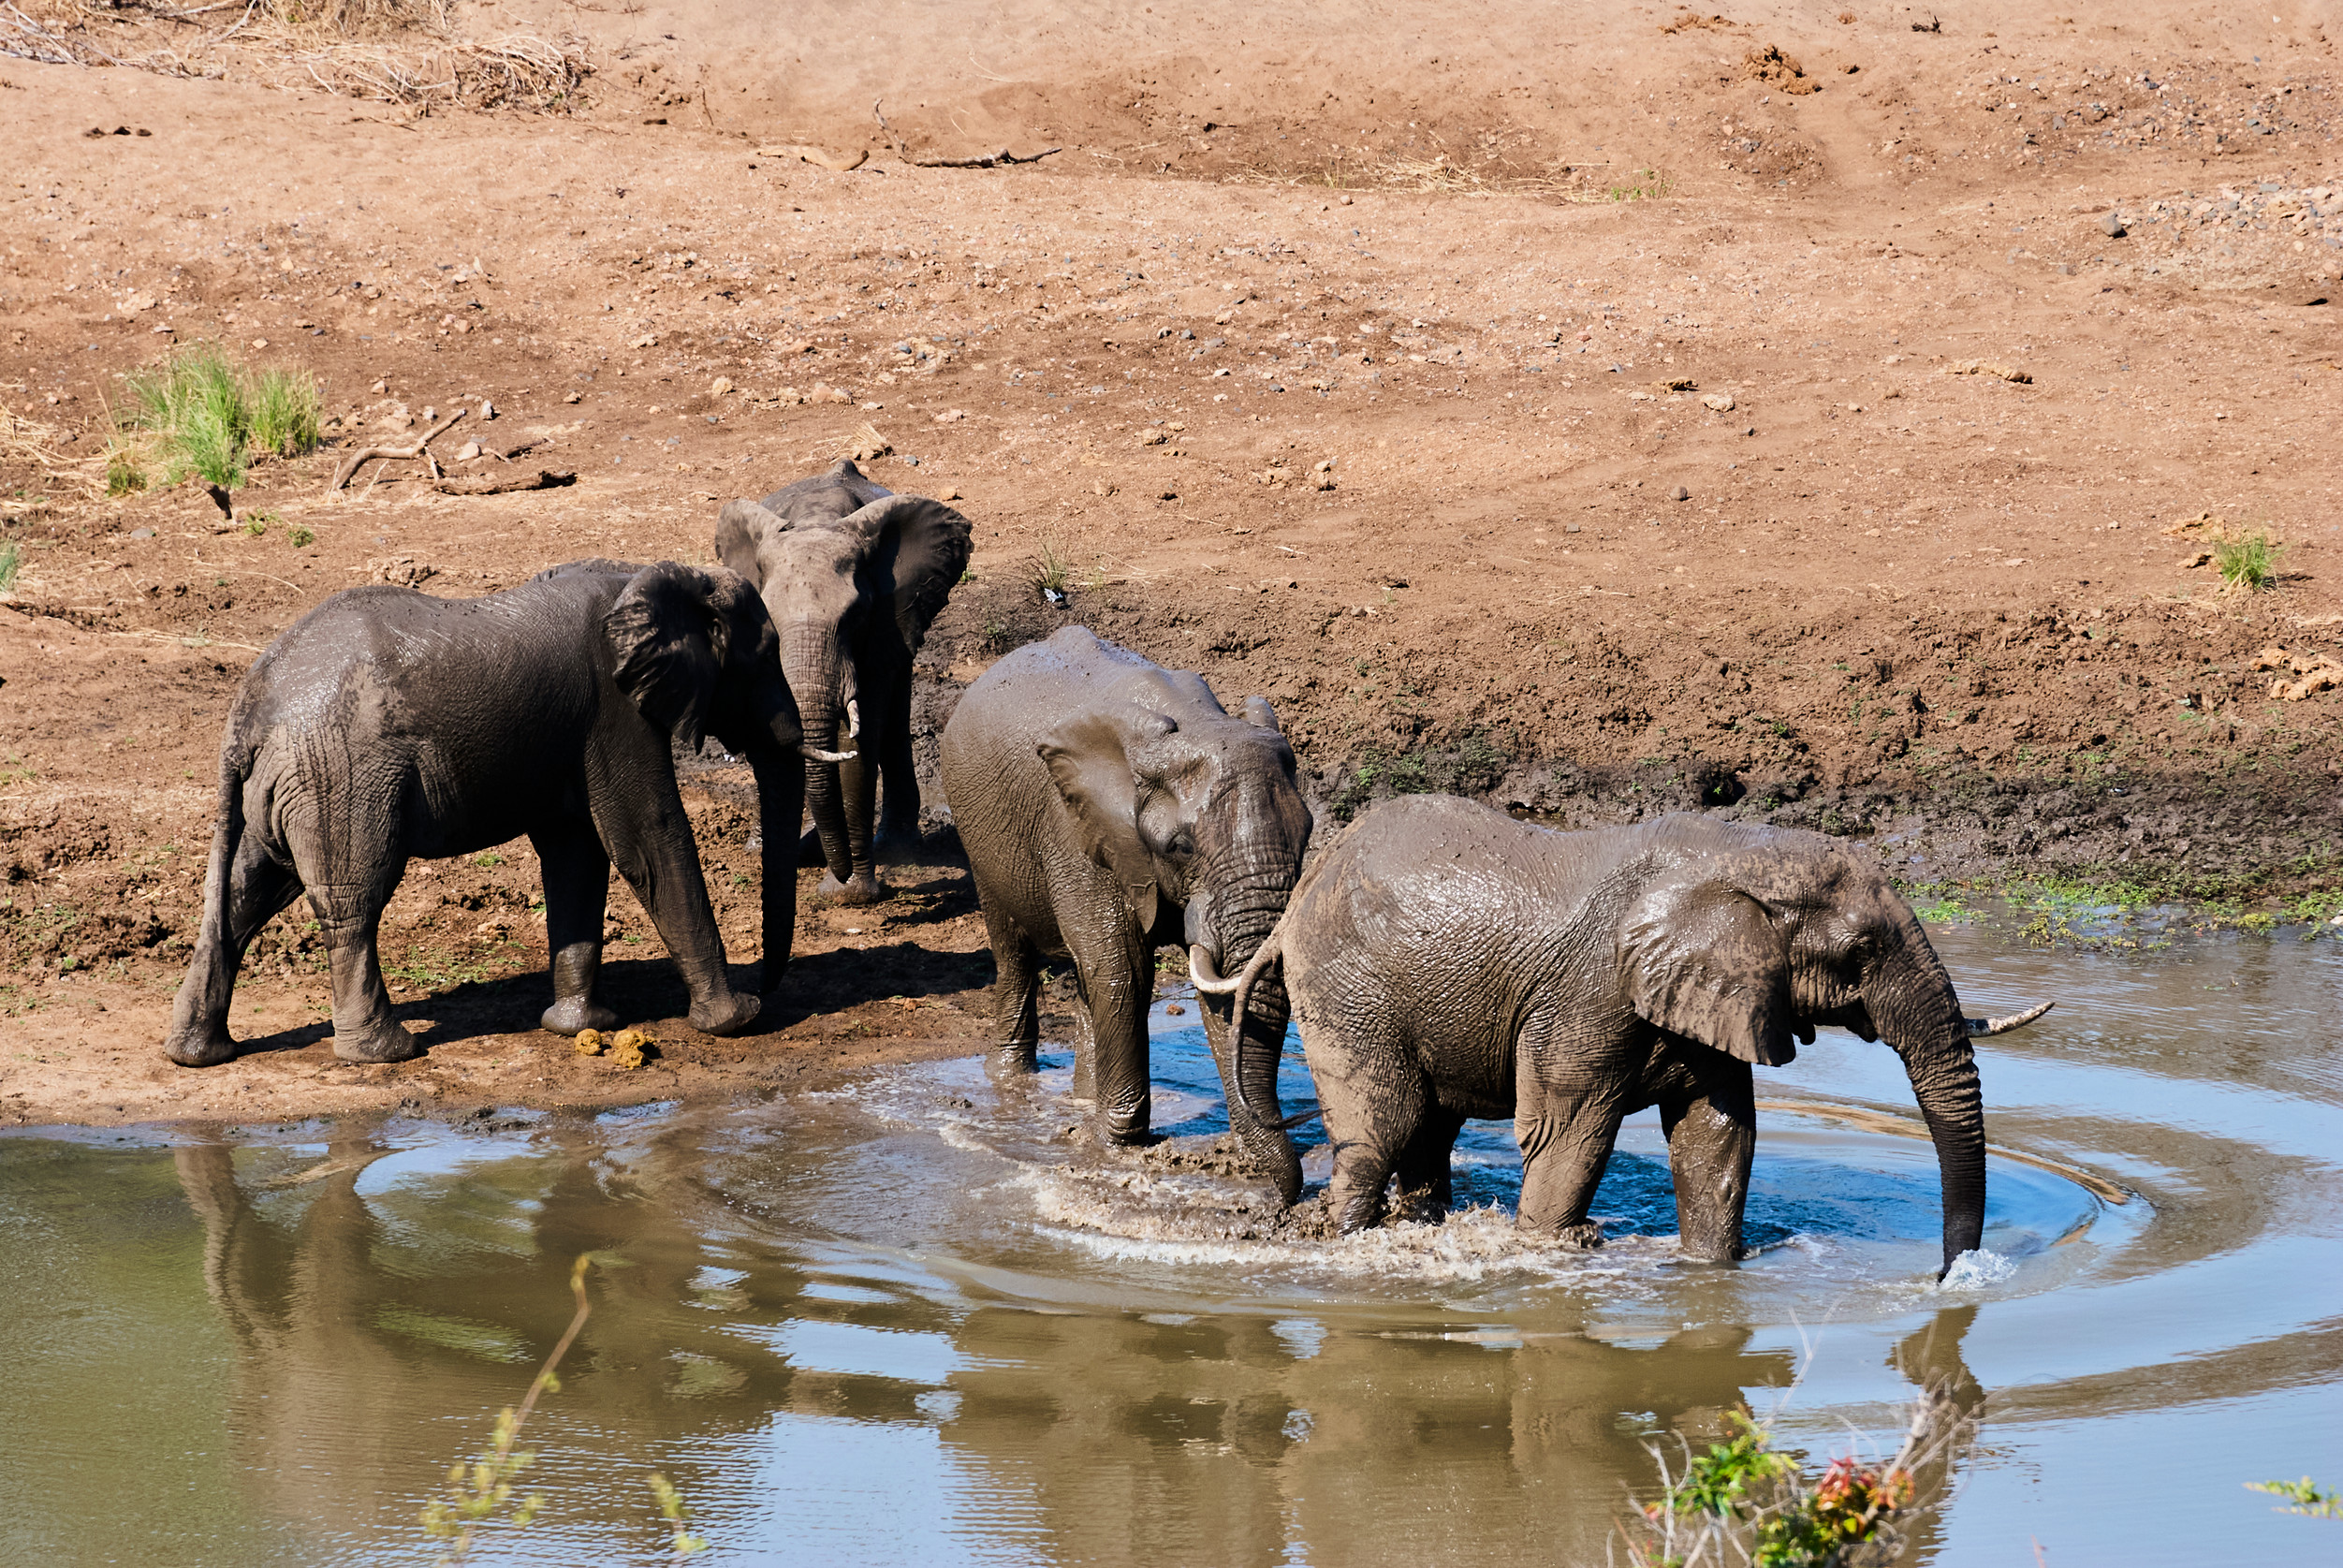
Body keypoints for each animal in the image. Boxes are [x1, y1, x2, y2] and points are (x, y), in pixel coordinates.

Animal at [167, 555, 843, 1068]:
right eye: (764, 655)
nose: (768, 985)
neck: (656, 575)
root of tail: (249, 707)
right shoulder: (614, 711)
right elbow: (645, 838)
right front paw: (738, 1020)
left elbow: (577, 855)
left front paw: (580, 1026)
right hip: (340, 777)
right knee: (352, 903)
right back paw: (388, 1053)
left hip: (287, 784)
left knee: (245, 894)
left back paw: (199, 1053)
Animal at [711, 459, 970, 900]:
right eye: (768, 617)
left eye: (855, 616)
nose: (840, 870)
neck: (819, 518)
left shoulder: (886, 616)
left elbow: (858, 742)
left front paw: (848, 893)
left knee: (893, 718)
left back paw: (891, 845)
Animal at [946, 623, 1321, 1185]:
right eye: (1180, 847)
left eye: (1308, 835)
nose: (1288, 1196)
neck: (1192, 726)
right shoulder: (1077, 828)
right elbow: (1122, 969)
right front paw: (1115, 1147)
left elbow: (1206, 984)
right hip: (980, 836)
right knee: (1014, 951)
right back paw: (1012, 1084)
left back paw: (1081, 1100)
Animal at [1208, 797, 2052, 1275]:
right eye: (1862, 951)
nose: (1947, 1279)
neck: (1735, 854)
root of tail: (1301, 894)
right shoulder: (1588, 994)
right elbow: (1567, 1133)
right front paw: (1552, 1250)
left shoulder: (1711, 995)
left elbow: (1719, 1136)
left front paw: (1709, 1270)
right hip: (1346, 986)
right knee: (1381, 1126)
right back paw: (1345, 1238)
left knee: (1425, 1131)